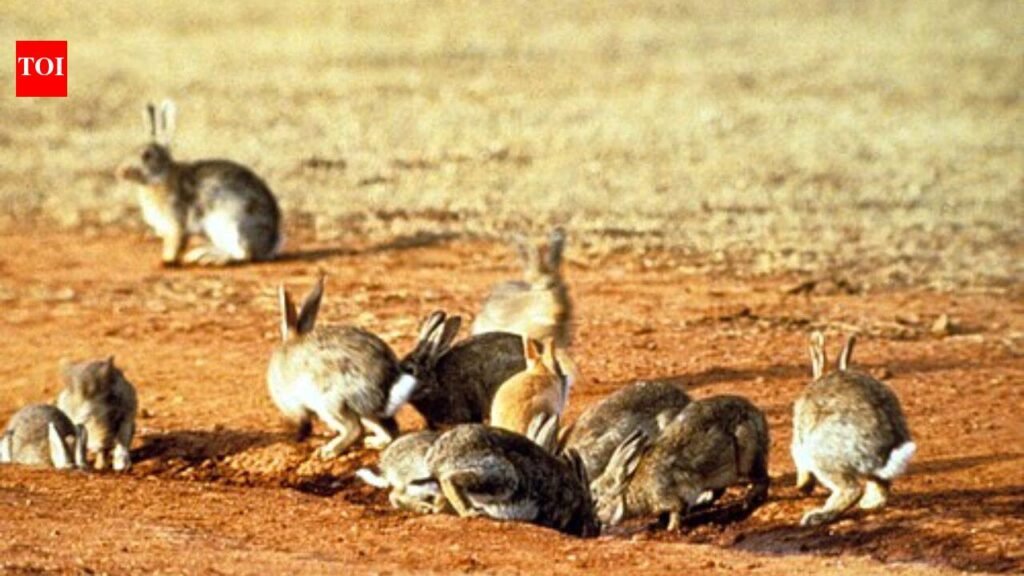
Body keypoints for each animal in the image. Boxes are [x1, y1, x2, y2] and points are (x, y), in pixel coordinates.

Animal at [116, 100, 282, 267]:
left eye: (147, 155)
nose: (121, 171)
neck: (160, 175)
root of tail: (270, 245)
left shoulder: (175, 222)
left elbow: (174, 243)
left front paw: (166, 261)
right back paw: (199, 254)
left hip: (231, 225)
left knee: (244, 255)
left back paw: (211, 258)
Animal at [267, 276, 419, 458]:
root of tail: (387, 385)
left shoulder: (294, 403)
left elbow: (304, 421)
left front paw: (300, 436)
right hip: (364, 411)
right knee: (390, 431)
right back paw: (373, 442)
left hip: (329, 401)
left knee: (355, 429)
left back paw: (328, 451)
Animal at [426, 423, 600, 537]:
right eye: (594, 506)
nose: (596, 529)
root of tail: (437, 454)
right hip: (504, 475)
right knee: (451, 480)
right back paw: (471, 512)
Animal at [591, 395, 770, 532]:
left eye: (599, 504)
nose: (597, 524)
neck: (631, 487)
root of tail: (758, 415)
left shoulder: (669, 494)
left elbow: (676, 510)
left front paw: (671, 529)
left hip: (747, 457)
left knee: (762, 479)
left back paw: (747, 501)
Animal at [792, 332, 916, 526]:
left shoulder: (799, 442)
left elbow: (800, 463)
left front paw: (803, 486)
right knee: (881, 487)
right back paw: (869, 504)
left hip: (821, 453)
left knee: (851, 489)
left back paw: (817, 516)